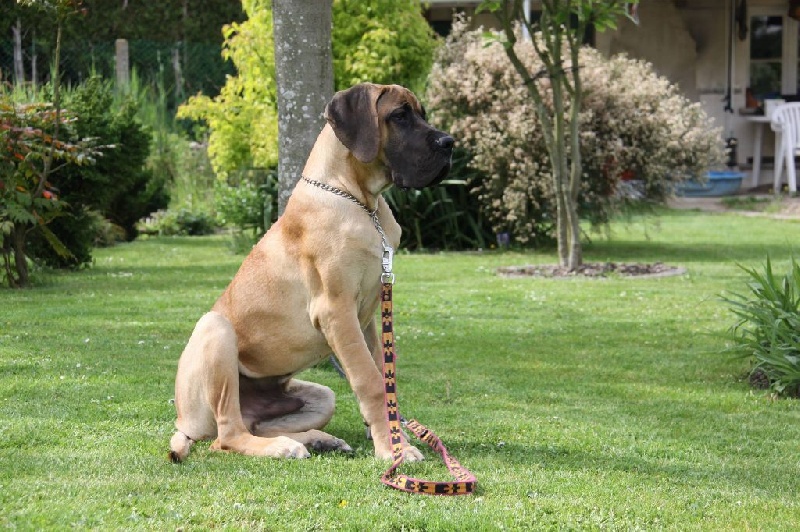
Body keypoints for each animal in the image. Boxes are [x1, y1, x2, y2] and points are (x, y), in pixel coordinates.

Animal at [169, 83, 454, 462]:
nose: (450, 143)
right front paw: (394, 448)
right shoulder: (337, 310)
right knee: (229, 435)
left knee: (256, 425)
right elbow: (369, 381)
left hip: (317, 397)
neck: (359, 201)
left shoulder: (367, 319)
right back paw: (281, 446)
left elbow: (383, 375)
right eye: (399, 116)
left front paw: (392, 436)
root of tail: (182, 421)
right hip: (215, 331)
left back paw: (317, 440)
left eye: (421, 113)